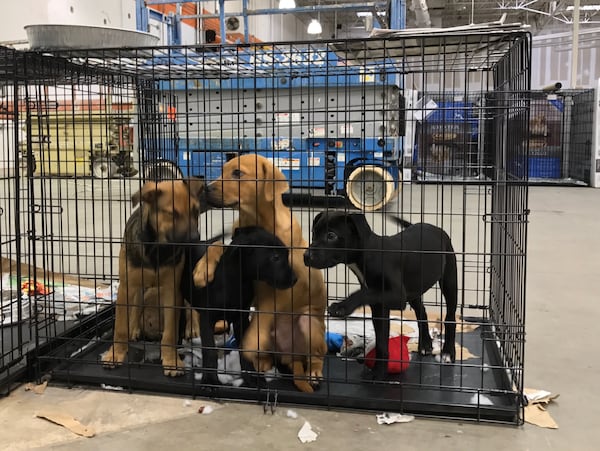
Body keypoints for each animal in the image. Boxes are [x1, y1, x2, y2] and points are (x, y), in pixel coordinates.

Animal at [103, 180, 206, 378]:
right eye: (172, 214)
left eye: (196, 211)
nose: (195, 239)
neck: (158, 249)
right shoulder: (126, 287)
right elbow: (120, 327)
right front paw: (115, 354)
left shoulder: (172, 290)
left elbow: (170, 332)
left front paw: (172, 361)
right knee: (136, 309)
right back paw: (134, 328)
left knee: (191, 309)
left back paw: (192, 327)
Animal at [180, 228, 298, 386]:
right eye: (275, 257)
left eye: (286, 255)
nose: (295, 279)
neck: (237, 281)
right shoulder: (207, 319)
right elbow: (209, 351)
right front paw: (210, 380)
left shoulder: (241, 319)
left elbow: (244, 349)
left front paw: (251, 376)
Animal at [193, 155, 326, 392]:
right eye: (222, 169)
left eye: (237, 173)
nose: (205, 189)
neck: (258, 219)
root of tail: (290, 356)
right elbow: (218, 244)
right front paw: (203, 269)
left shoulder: (280, 289)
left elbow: (261, 318)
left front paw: (247, 347)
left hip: (310, 323)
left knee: (317, 354)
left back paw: (313, 372)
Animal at [308, 212, 458, 378]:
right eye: (313, 233)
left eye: (331, 235)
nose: (306, 256)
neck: (369, 255)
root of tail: (435, 228)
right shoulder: (380, 305)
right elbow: (381, 343)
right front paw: (379, 371)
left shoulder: (397, 296)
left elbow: (364, 292)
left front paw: (342, 306)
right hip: (414, 290)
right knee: (421, 312)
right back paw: (425, 344)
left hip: (449, 280)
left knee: (450, 317)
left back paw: (448, 352)